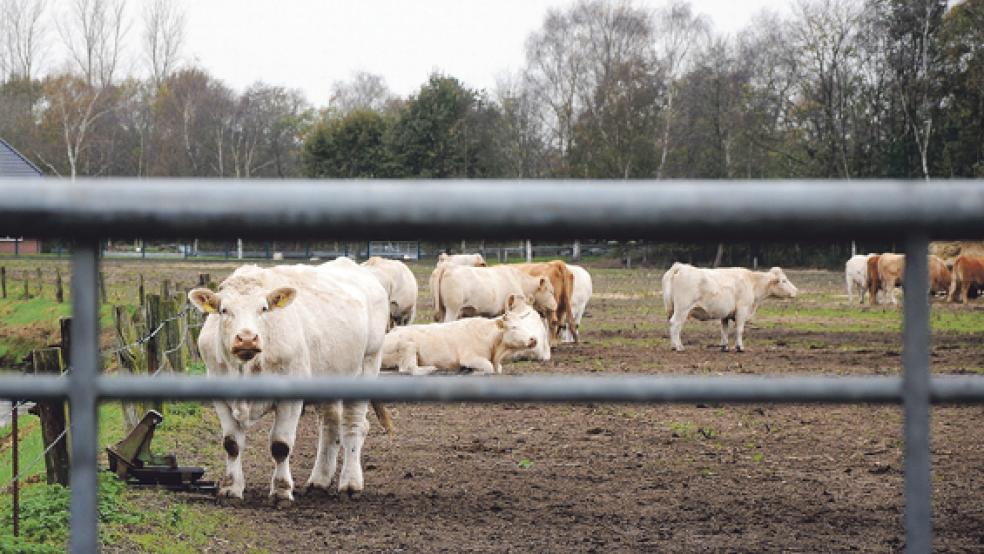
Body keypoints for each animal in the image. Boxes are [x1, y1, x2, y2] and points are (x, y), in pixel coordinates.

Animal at [190, 256, 390, 502]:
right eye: (224, 310)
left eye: (264, 308)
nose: (247, 338)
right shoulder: (221, 398)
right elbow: (232, 444)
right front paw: (231, 488)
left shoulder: (291, 398)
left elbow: (280, 445)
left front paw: (282, 490)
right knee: (330, 425)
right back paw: (319, 480)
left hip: (367, 365)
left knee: (353, 426)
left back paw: (351, 484)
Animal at [380, 292, 540, 374]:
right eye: (513, 327)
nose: (533, 339)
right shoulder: (470, 357)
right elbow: (488, 368)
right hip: (409, 346)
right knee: (409, 369)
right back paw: (433, 368)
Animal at [660, 262, 800, 350]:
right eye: (784, 280)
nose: (796, 290)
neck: (752, 283)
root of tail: (680, 266)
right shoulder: (742, 310)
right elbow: (739, 329)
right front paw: (740, 347)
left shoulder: (725, 314)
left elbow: (724, 330)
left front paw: (724, 346)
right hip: (682, 309)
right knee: (675, 325)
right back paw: (678, 347)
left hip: (673, 309)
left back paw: (675, 345)